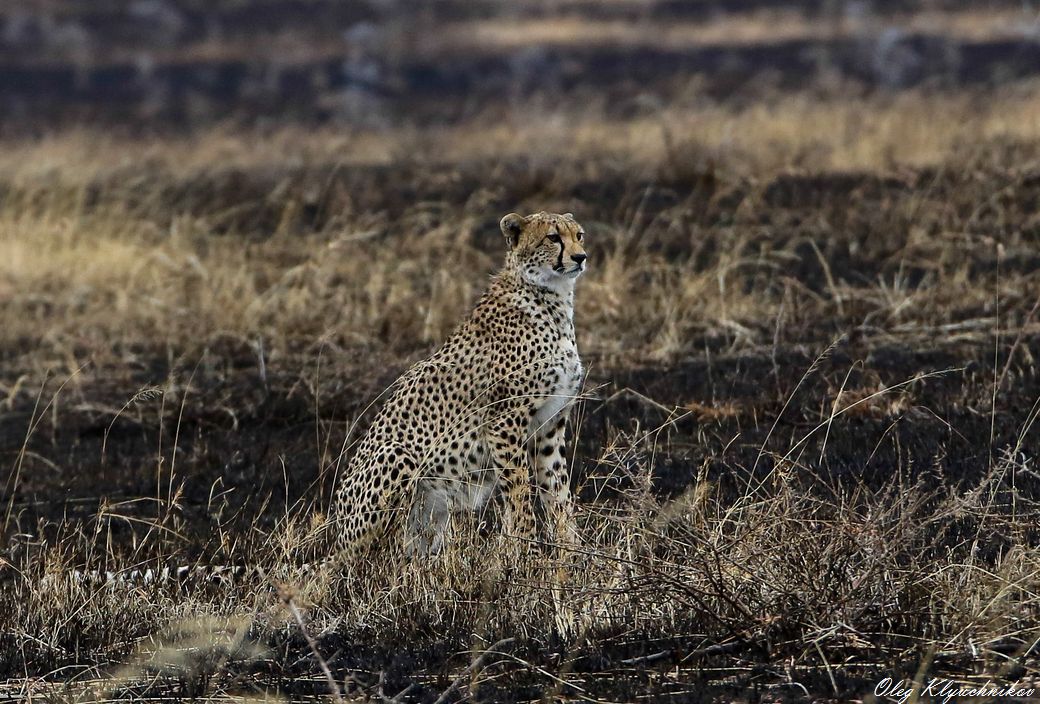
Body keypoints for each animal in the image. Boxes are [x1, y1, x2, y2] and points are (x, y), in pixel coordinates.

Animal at [332, 210, 586, 553]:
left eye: (579, 235)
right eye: (553, 237)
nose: (580, 257)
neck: (552, 298)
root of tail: (337, 534)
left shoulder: (550, 426)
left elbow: (558, 494)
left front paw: (571, 551)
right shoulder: (504, 423)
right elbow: (520, 494)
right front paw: (528, 552)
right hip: (396, 456)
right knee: (381, 550)